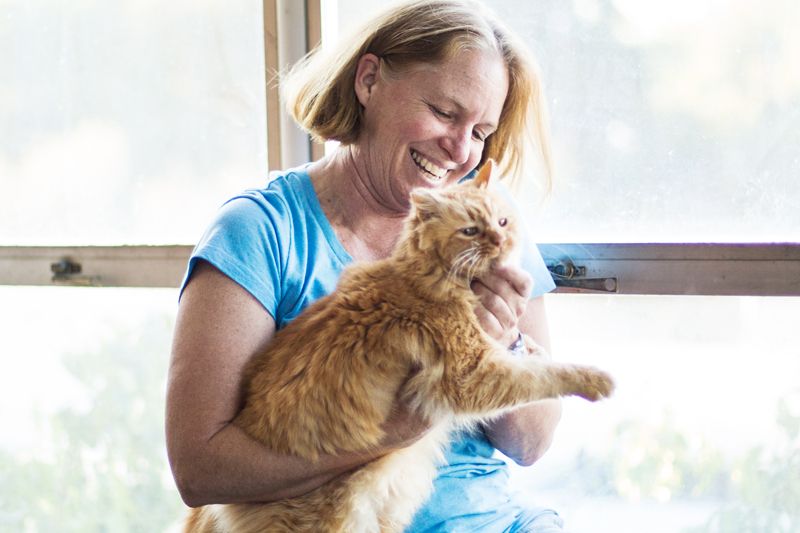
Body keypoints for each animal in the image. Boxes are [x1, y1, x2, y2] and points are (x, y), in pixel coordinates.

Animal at [184, 160, 616, 528]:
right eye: (471, 231)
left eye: (502, 221)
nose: (499, 239)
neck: (425, 277)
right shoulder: (468, 374)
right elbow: (542, 375)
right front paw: (596, 380)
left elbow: (534, 363)